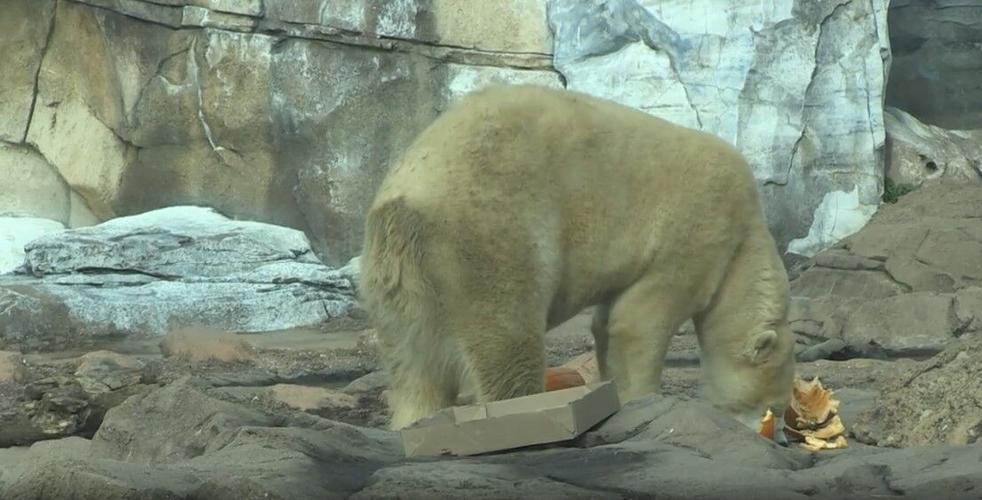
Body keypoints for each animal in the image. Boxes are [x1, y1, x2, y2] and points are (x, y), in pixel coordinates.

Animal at [358, 84, 796, 440]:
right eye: (774, 405)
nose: (778, 437)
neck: (746, 236)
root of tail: (404, 201)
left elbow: (609, 324)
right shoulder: (697, 232)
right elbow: (639, 321)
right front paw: (644, 404)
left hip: (397, 283)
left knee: (413, 369)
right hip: (489, 235)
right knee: (506, 338)